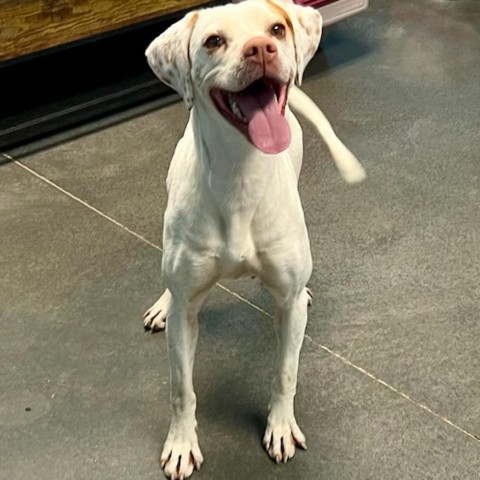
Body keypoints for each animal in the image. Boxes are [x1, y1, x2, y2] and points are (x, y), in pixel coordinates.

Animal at [144, 1, 366, 478]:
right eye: (213, 40)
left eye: (277, 29)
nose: (261, 48)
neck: (238, 176)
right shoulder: (187, 314)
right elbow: (181, 387)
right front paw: (181, 443)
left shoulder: (288, 306)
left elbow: (285, 372)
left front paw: (280, 427)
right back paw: (162, 303)